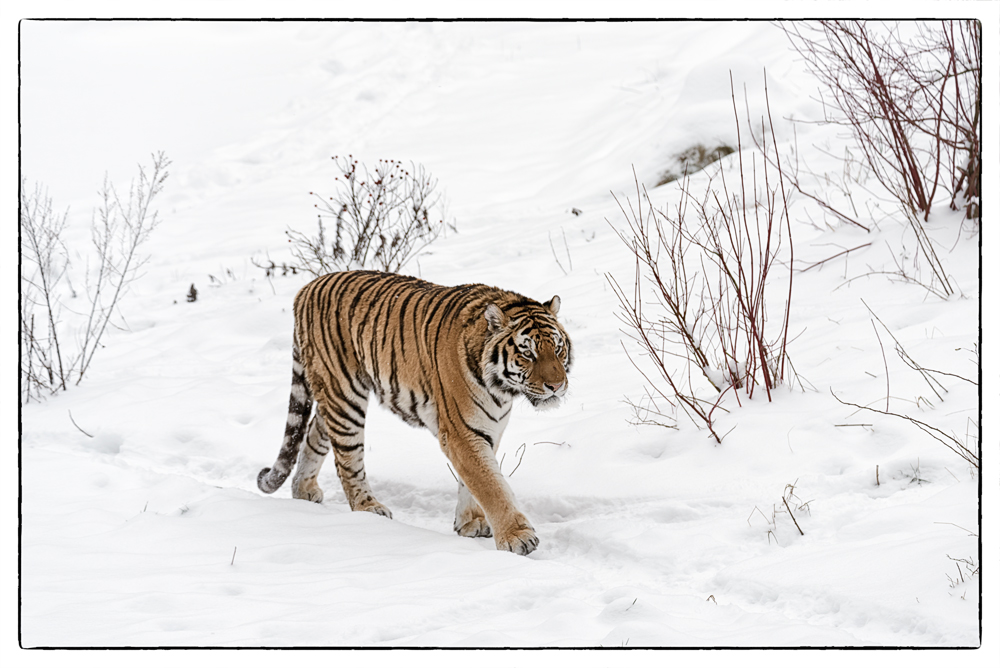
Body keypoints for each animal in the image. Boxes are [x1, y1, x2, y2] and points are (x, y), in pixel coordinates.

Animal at [254, 268, 576, 556]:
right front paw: (517, 537)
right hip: (345, 396)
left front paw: (470, 523)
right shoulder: (461, 432)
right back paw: (368, 508)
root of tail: (307, 287)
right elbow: (490, 485)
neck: (502, 388)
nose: (556, 386)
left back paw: (304, 491)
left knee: (314, 433)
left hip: (332, 396)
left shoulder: (486, 428)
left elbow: (474, 481)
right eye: (527, 353)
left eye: (558, 349)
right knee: (347, 459)